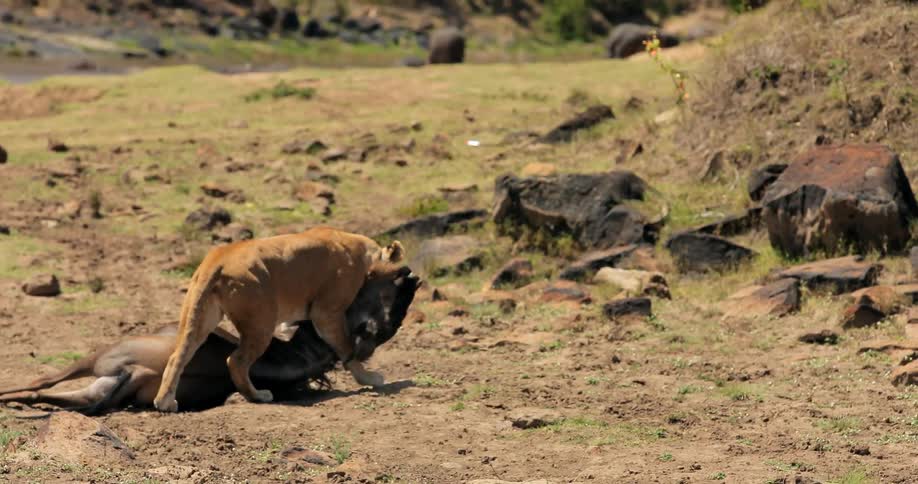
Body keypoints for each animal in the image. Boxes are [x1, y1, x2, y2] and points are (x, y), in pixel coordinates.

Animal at [153, 226, 406, 412]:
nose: (408, 274)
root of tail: (219, 259)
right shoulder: (327, 312)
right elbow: (346, 348)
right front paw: (369, 378)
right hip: (261, 322)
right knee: (236, 360)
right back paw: (258, 395)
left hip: (199, 317)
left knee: (178, 356)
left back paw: (165, 403)